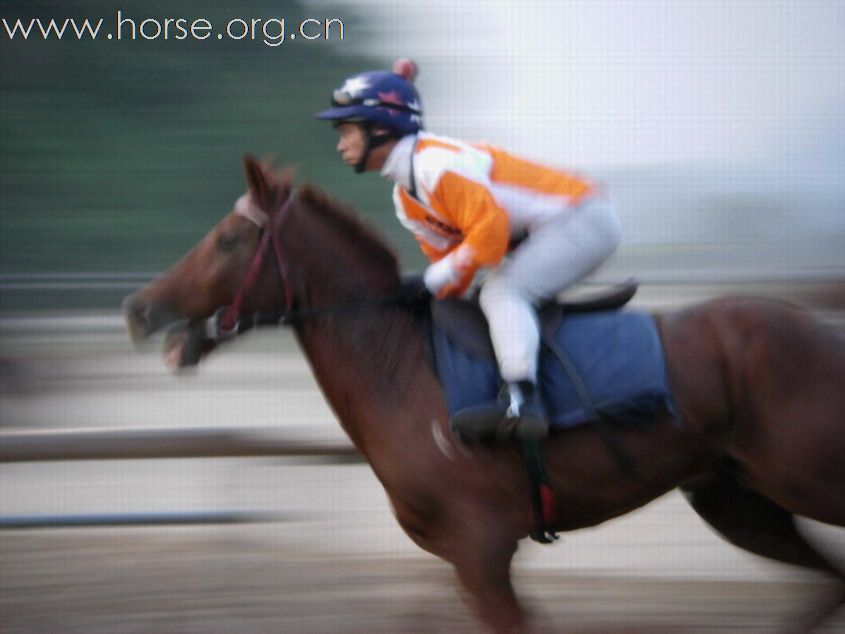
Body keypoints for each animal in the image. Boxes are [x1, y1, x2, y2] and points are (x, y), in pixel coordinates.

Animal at [122, 156, 840, 628]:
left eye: (227, 239)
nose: (138, 309)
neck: (401, 368)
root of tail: (821, 331)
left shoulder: (481, 549)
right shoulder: (461, 560)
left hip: (804, 477)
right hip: (739, 499)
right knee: (825, 582)